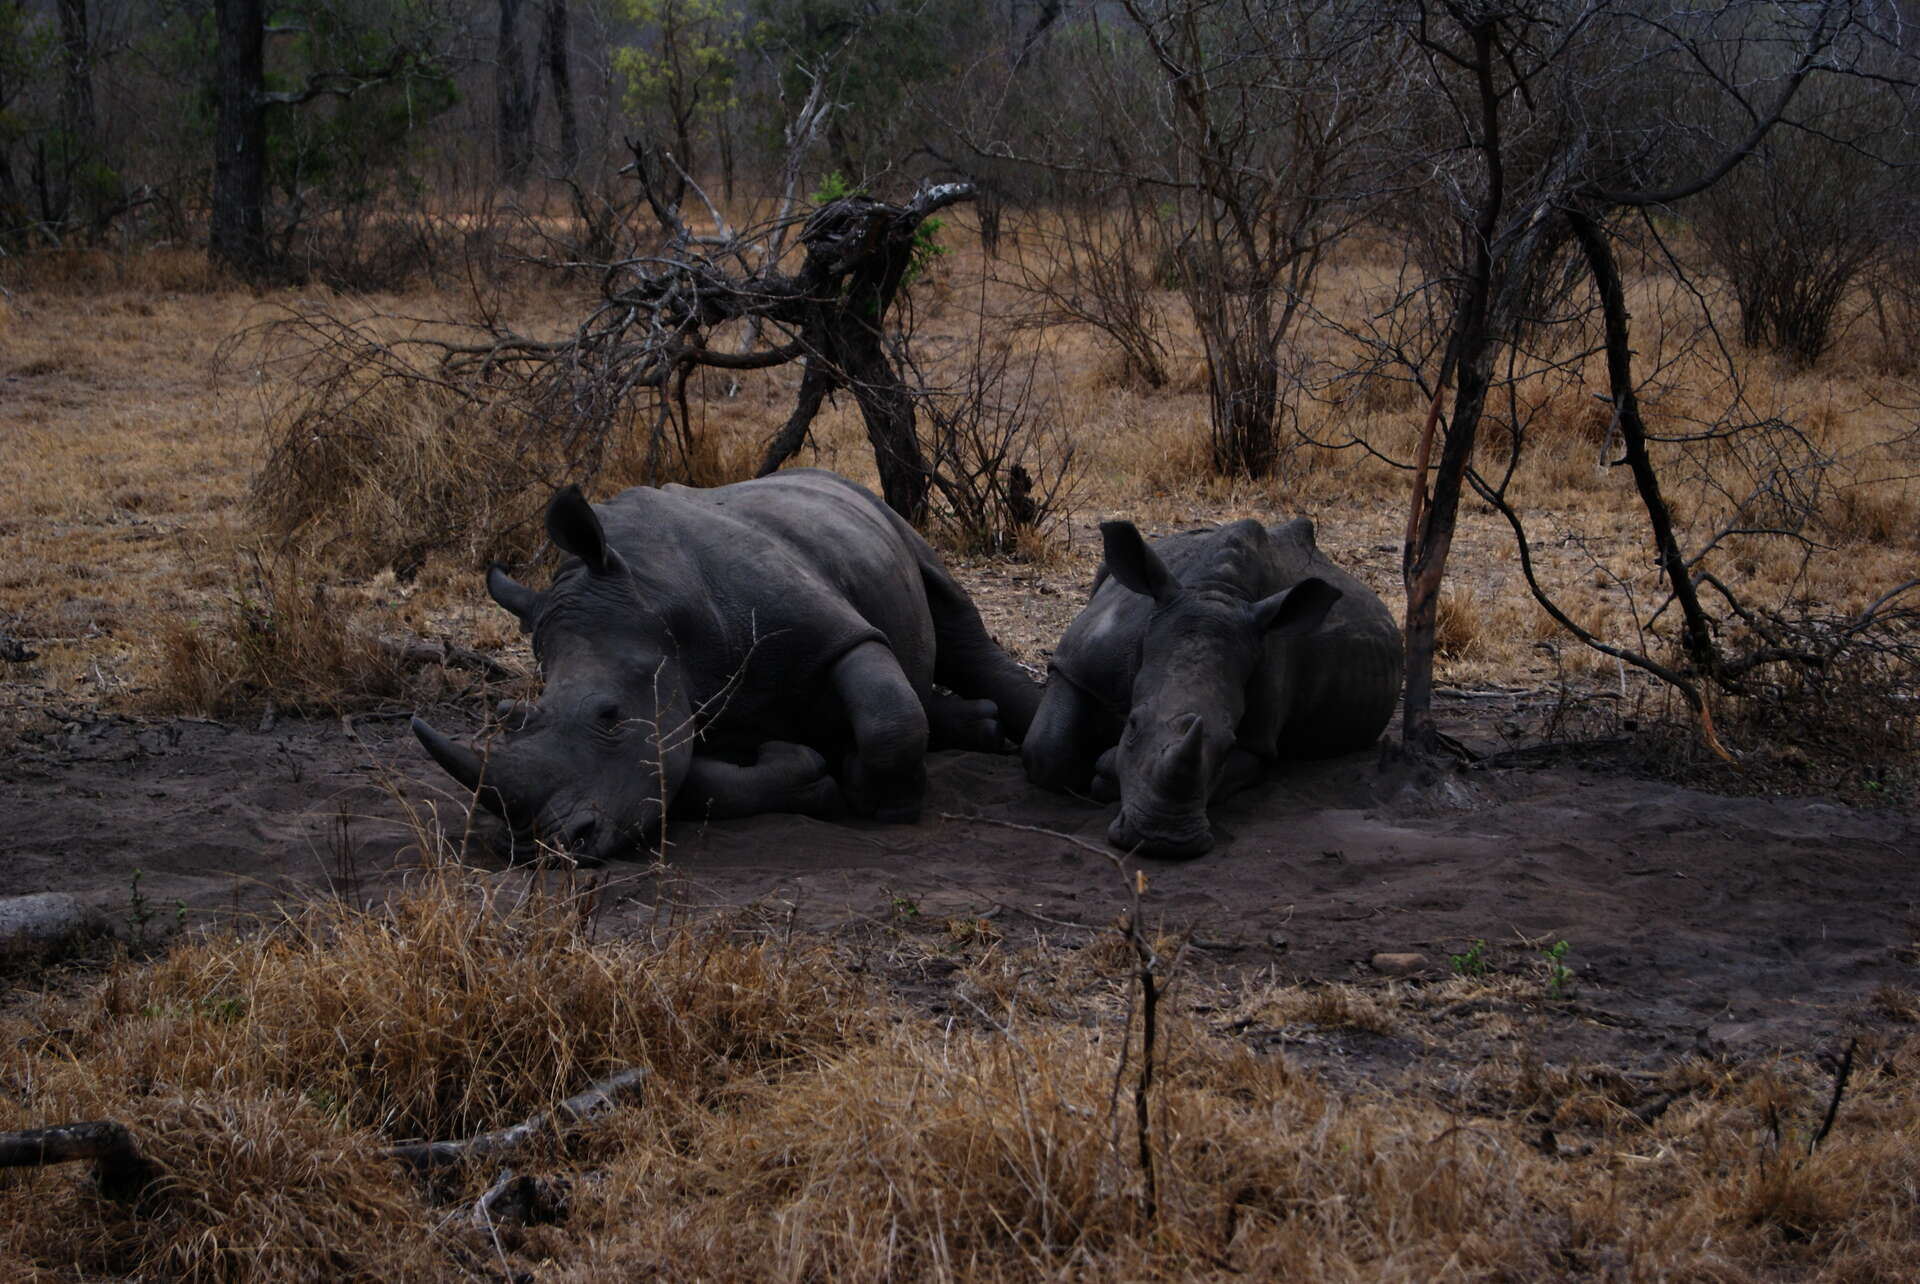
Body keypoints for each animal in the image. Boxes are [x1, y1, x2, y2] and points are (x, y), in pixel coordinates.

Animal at [411, 470, 1040, 863]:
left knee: (951, 616)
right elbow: (691, 782)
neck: (652, 597)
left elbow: (886, 715)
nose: (535, 848)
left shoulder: (833, 630)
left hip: (882, 512)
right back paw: (978, 726)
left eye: (610, 716)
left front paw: (875, 793)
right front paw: (811, 770)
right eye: (514, 716)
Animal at [1022, 517, 1402, 858]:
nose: (1161, 841)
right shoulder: (1079, 663)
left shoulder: (1258, 738)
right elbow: (1047, 751)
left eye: (1228, 742)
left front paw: (1107, 770)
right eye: (1132, 724)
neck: (1214, 592)